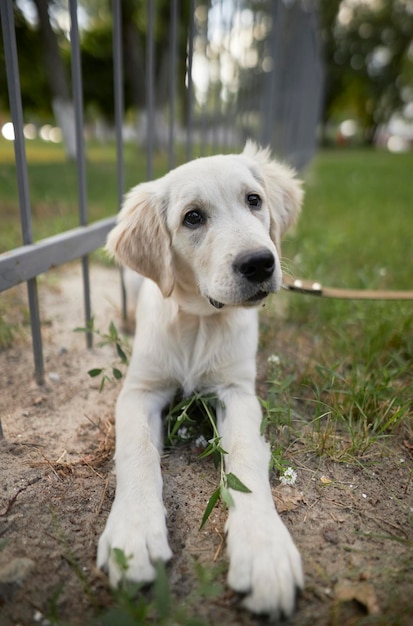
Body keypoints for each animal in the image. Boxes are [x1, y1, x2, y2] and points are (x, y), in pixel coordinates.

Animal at [96, 140, 302, 616]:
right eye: (193, 217)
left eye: (254, 200)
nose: (260, 263)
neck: (200, 322)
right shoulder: (139, 391)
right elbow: (137, 451)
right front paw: (133, 534)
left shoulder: (237, 392)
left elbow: (246, 454)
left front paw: (264, 548)